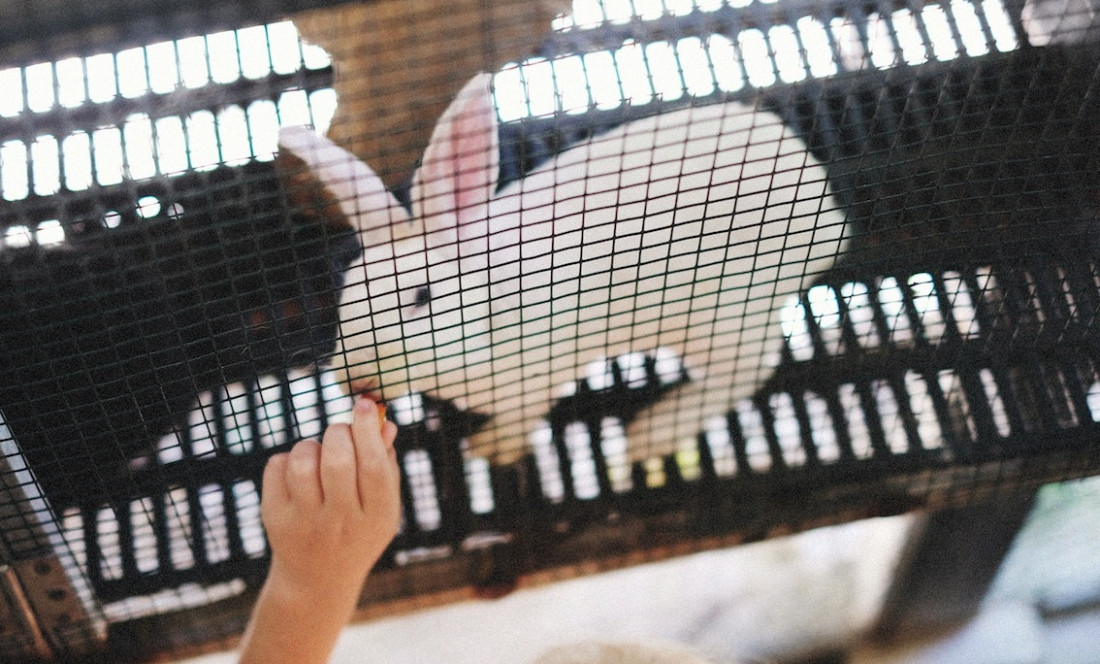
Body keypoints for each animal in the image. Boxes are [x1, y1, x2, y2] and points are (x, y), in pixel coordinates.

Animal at [279, 72, 844, 466]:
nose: (353, 381)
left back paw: (651, 432)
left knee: (752, 368)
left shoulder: (536, 379)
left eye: (421, 298)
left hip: (718, 318)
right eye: (349, 287)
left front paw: (489, 450)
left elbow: (521, 419)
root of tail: (826, 208)